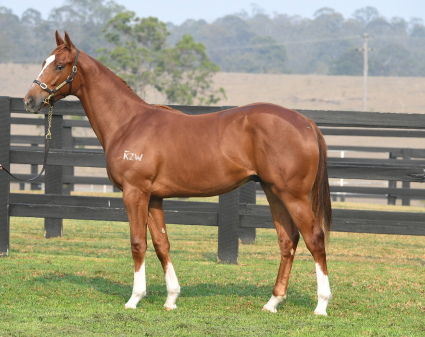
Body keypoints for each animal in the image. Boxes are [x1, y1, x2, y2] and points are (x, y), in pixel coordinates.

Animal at [24, 32, 332, 316]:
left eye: (60, 65)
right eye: (44, 62)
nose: (30, 100)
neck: (128, 123)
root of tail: (305, 121)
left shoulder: (135, 193)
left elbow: (138, 243)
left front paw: (134, 298)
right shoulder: (154, 197)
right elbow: (162, 244)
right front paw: (171, 298)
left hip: (293, 195)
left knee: (315, 238)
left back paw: (321, 305)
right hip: (273, 192)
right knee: (288, 241)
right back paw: (272, 302)